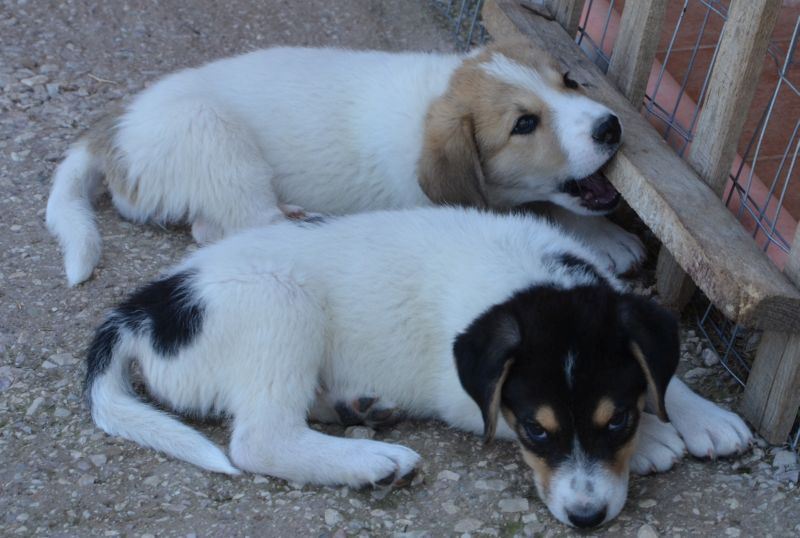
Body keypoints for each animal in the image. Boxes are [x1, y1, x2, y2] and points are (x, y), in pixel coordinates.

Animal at [47, 40, 644, 287]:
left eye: (568, 81)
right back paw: (301, 221)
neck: (431, 99)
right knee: (230, 223)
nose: (610, 127)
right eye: (524, 124)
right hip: (215, 138)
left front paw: (610, 237)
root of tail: (115, 129)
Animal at [85, 208, 750, 528]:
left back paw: (359, 407)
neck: (529, 276)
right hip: (282, 306)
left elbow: (662, 372)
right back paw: (370, 460)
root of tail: (145, 311)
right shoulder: (472, 401)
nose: (586, 521)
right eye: (536, 432)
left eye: (614, 422)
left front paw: (699, 417)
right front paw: (656, 440)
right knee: (261, 438)